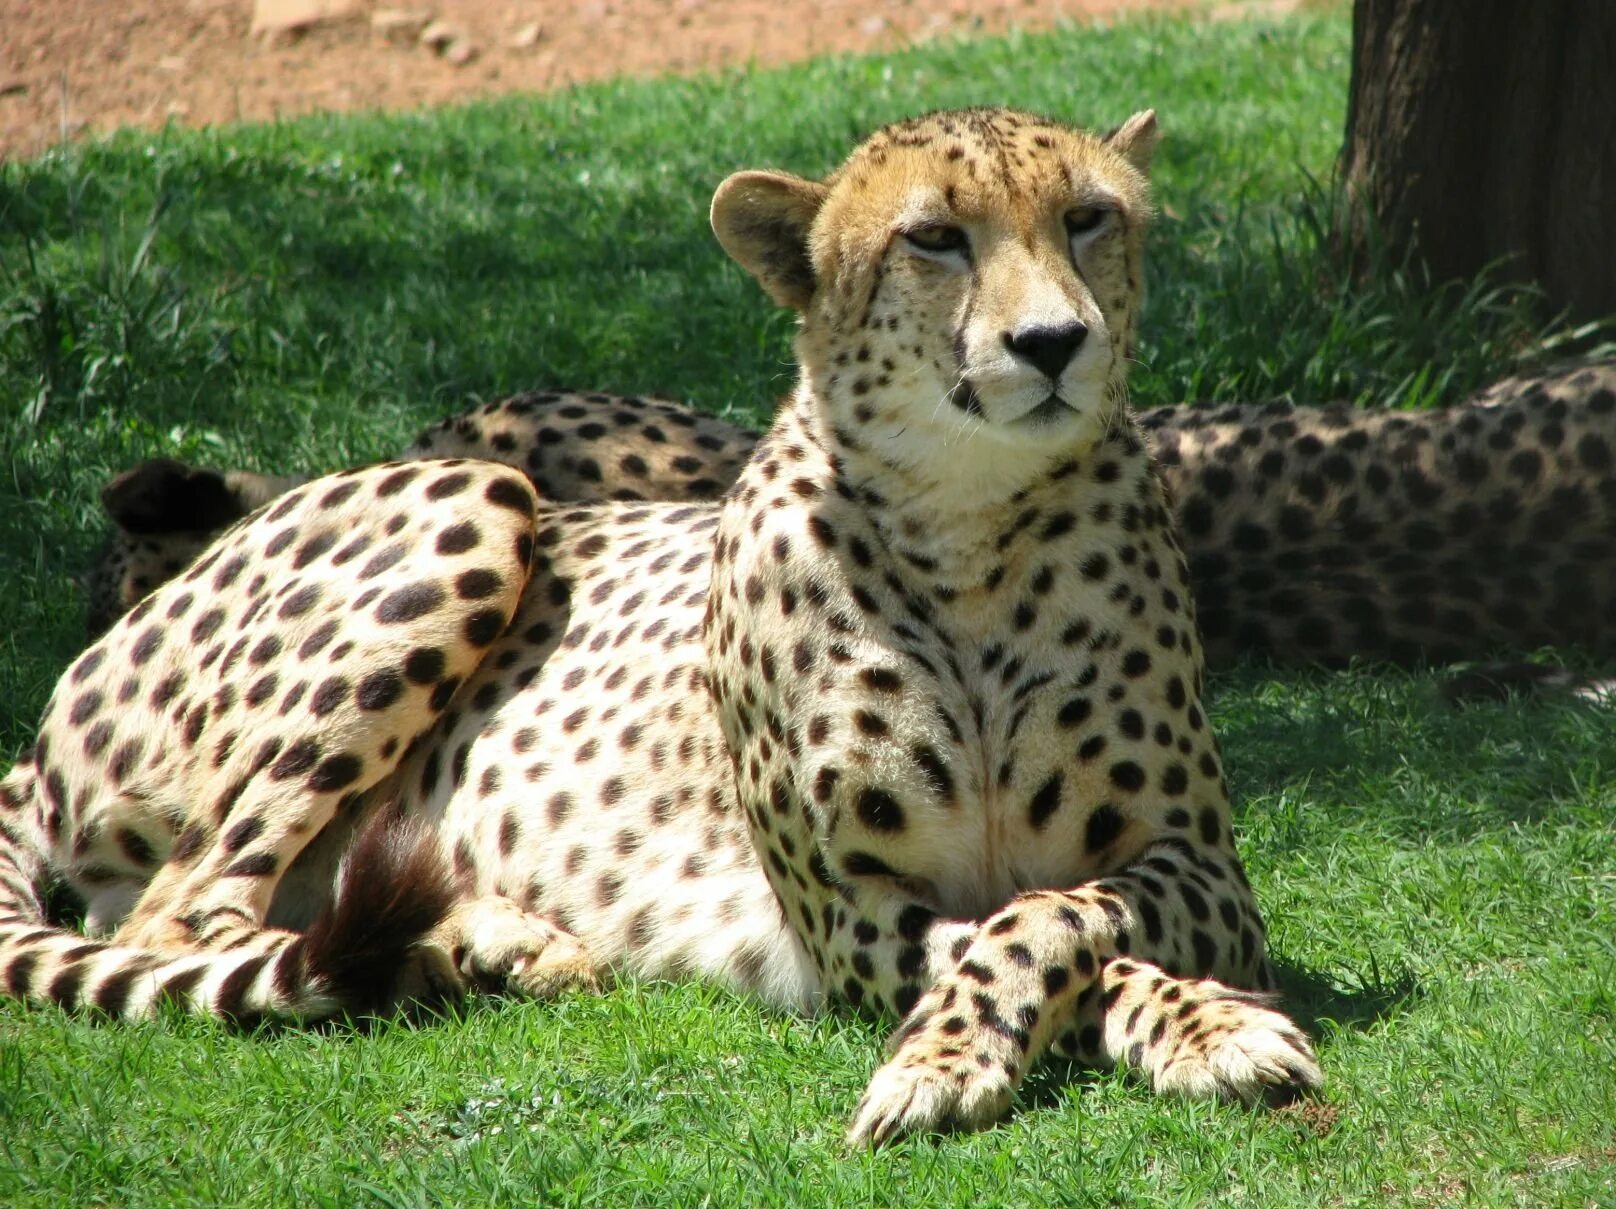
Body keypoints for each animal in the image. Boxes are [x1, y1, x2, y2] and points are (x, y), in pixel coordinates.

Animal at [6, 105, 1318, 1144]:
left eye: (1089, 218)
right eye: (934, 237)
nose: (1052, 342)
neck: (968, 522)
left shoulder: (1204, 865)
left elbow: (1061, 915)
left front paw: (1201, 1026)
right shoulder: (846, 913)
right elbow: (1033, 938)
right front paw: (970, 1058)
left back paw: (478, 945)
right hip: (474, 494)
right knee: (188, 915)